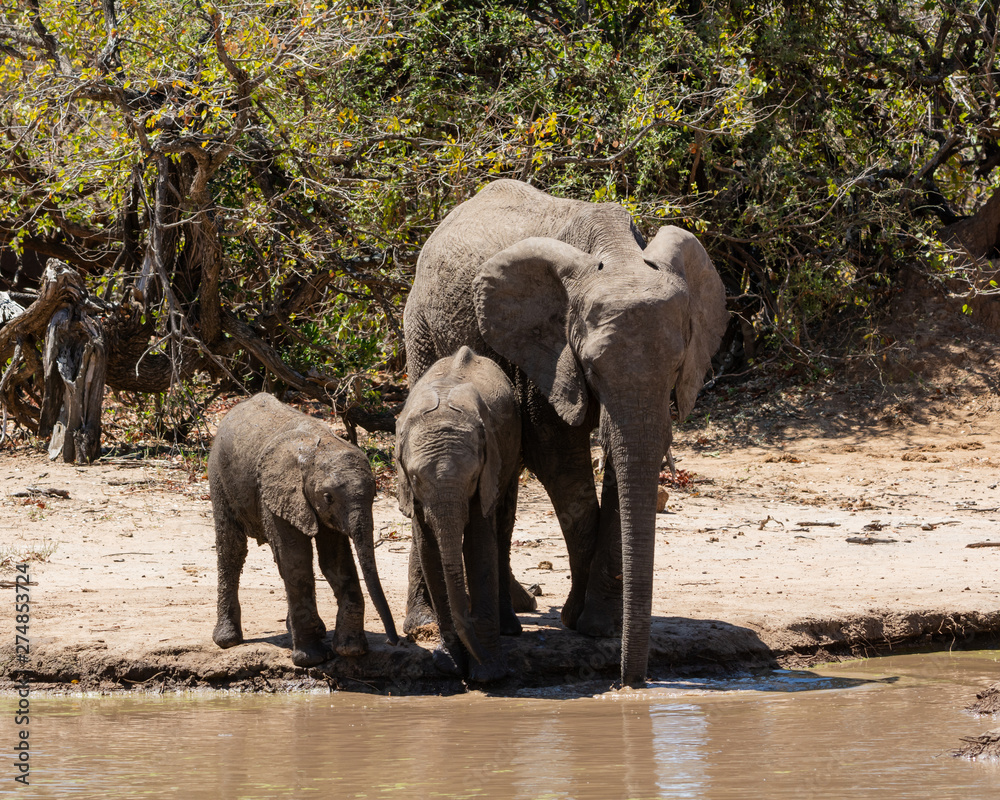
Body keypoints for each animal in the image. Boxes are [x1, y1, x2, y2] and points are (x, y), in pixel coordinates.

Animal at [208, 393, 398, 667]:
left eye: (374, 495)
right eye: (328, 497)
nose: (393, 641)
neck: (318, 448)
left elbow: (335, 562)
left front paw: (350, 650)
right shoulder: (277, 491)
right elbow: (296, 559)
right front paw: (313, 659)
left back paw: (313, 629)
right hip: (219, 475)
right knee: (232, 550)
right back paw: (227, 640)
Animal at [395, 346, 522, 682]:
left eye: (472, 477)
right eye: (416, 479)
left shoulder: (489, 466)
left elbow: (479, 545)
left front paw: (489, 673)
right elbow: (430, 550)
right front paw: (449, 665)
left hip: (512, 453)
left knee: (503, 527)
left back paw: (510, 628)